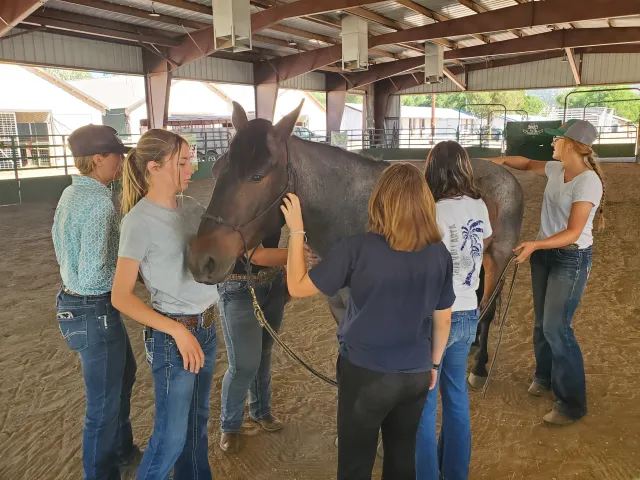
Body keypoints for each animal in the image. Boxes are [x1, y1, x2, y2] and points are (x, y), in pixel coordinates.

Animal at [187, 100, 524, 389]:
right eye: (217, 170)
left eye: (258, 176)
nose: (202, 259)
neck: (353, 215)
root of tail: (502, 172)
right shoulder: (341, 309)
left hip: (498, 258)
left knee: (488, 307)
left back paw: (480, 367)